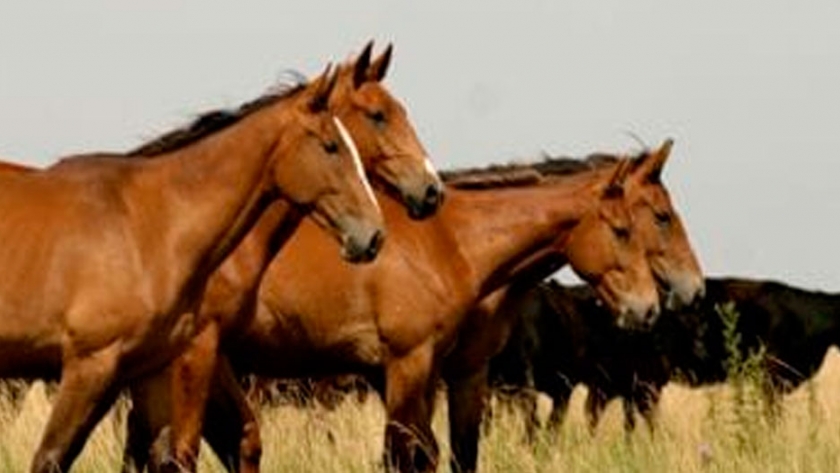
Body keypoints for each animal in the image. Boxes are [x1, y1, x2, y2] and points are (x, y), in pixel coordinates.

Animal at [0, 61, 385, 473]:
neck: (150, 225)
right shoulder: (90, 366)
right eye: (331, 146)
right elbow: (51, 458)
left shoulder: (150, 369)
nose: (374, 235)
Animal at [119, 41, 444, 473]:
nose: (431, 190)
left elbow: (244, 440)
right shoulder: (196, 350)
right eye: (378, 115)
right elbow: (182, 450)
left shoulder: (212, 355)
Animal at [184, 147, 673, 473]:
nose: (649, 309)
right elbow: (402, 455)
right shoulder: (406, 363)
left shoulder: (432, 371)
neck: (448, 242)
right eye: (624, 229)